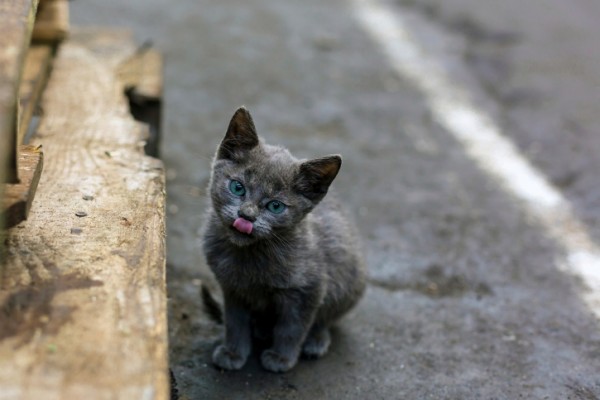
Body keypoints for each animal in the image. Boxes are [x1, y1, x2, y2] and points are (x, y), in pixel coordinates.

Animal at [203, 108, 366, 374]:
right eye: (237, 187)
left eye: (275, 206)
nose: (246, 216)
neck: (250, 256)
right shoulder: (232, 288)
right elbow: (235, 322)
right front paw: (233, 352)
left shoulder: (308, 289)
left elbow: (292, 328)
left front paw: (281, 358)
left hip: (350, 281)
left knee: (326, 319)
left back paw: (315, 340)